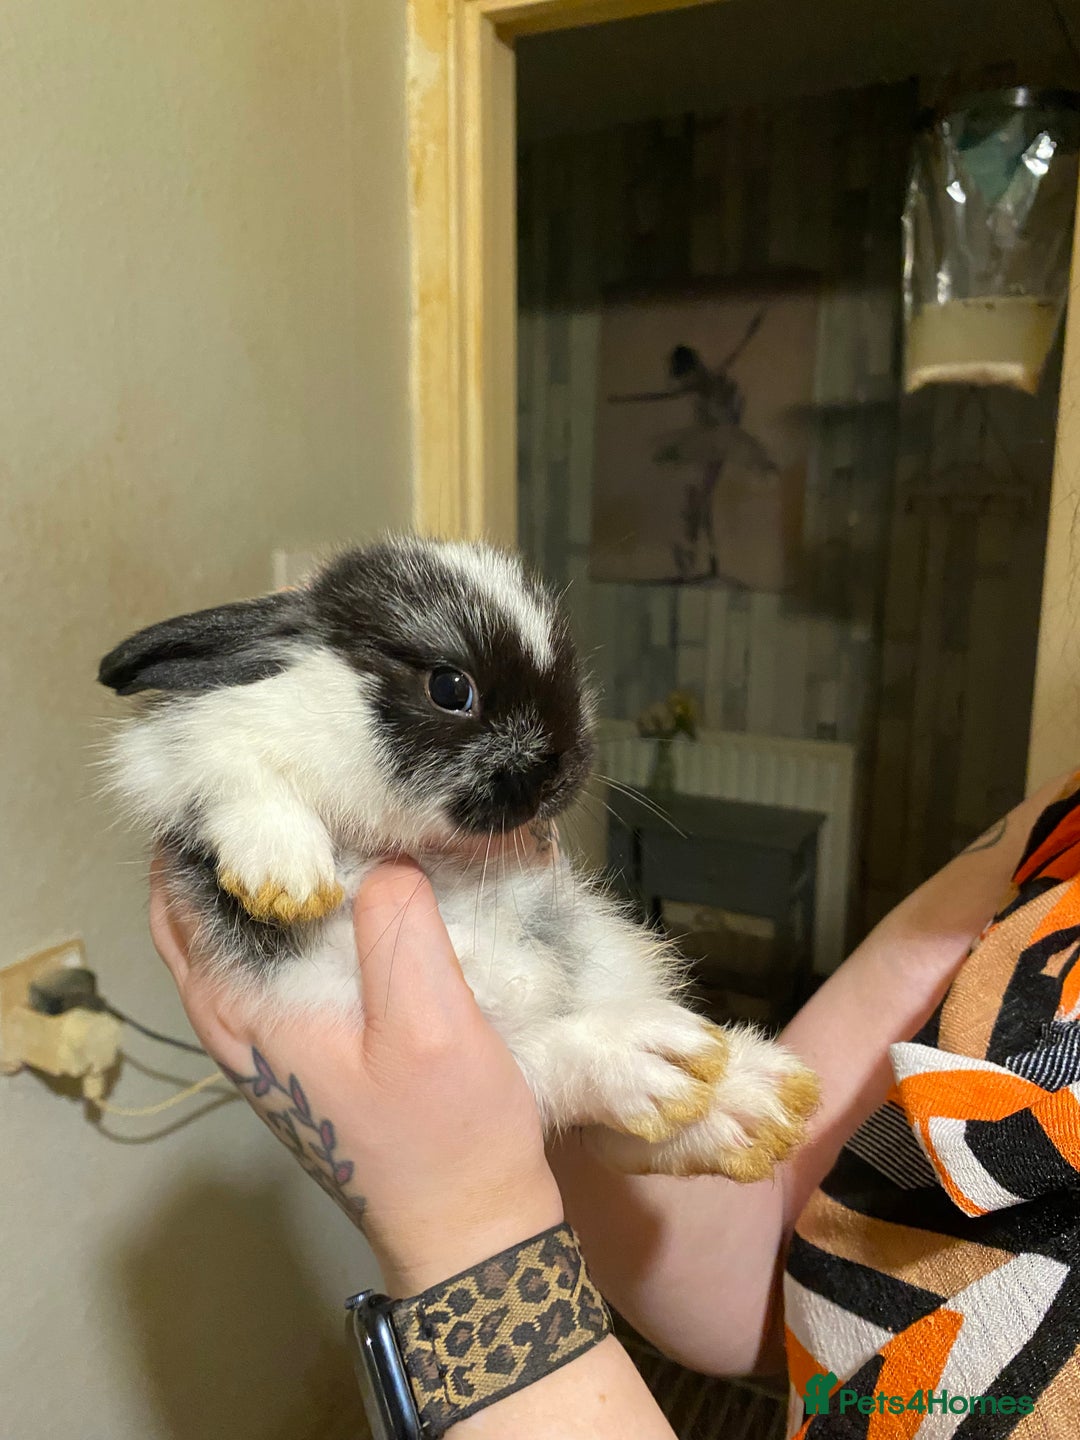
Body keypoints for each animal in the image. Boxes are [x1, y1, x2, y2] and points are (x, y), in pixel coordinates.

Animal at [98, 537, 819, 1179]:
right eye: (450, 688)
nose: (564, 774)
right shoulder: (177, 752)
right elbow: (230, 768)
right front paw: (288, 879)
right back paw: (679, 1073)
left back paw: (749, 1097)